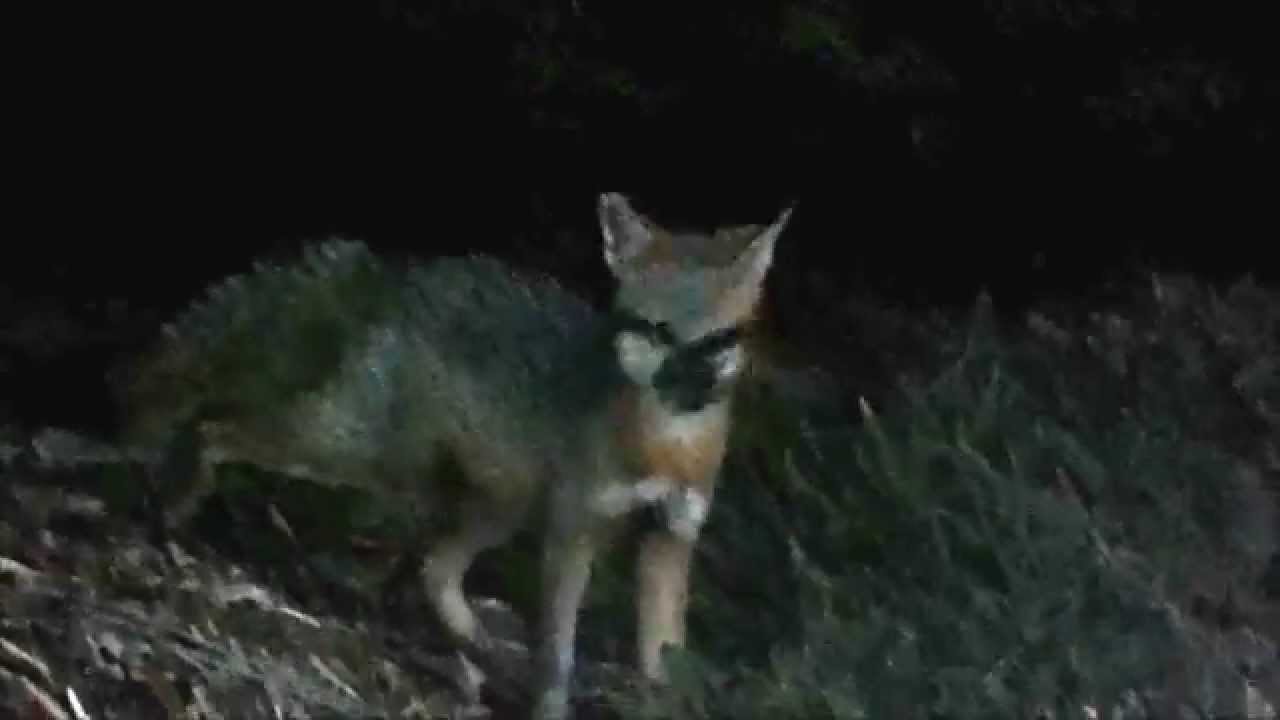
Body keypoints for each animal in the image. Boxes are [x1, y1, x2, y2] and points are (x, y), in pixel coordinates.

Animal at [114, 192, 793, 719]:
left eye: (718, 341)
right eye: (658, 332)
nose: (689, 392)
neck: (665, 450)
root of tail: (392, 270)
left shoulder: (670, 537)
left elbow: (661, 657)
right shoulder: (574, 528)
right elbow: (558, 654)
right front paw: (550, 705)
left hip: (492, 506)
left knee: (434, 568)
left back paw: (478, 646)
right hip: (353, 450)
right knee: (214, 425)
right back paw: (176, 499)